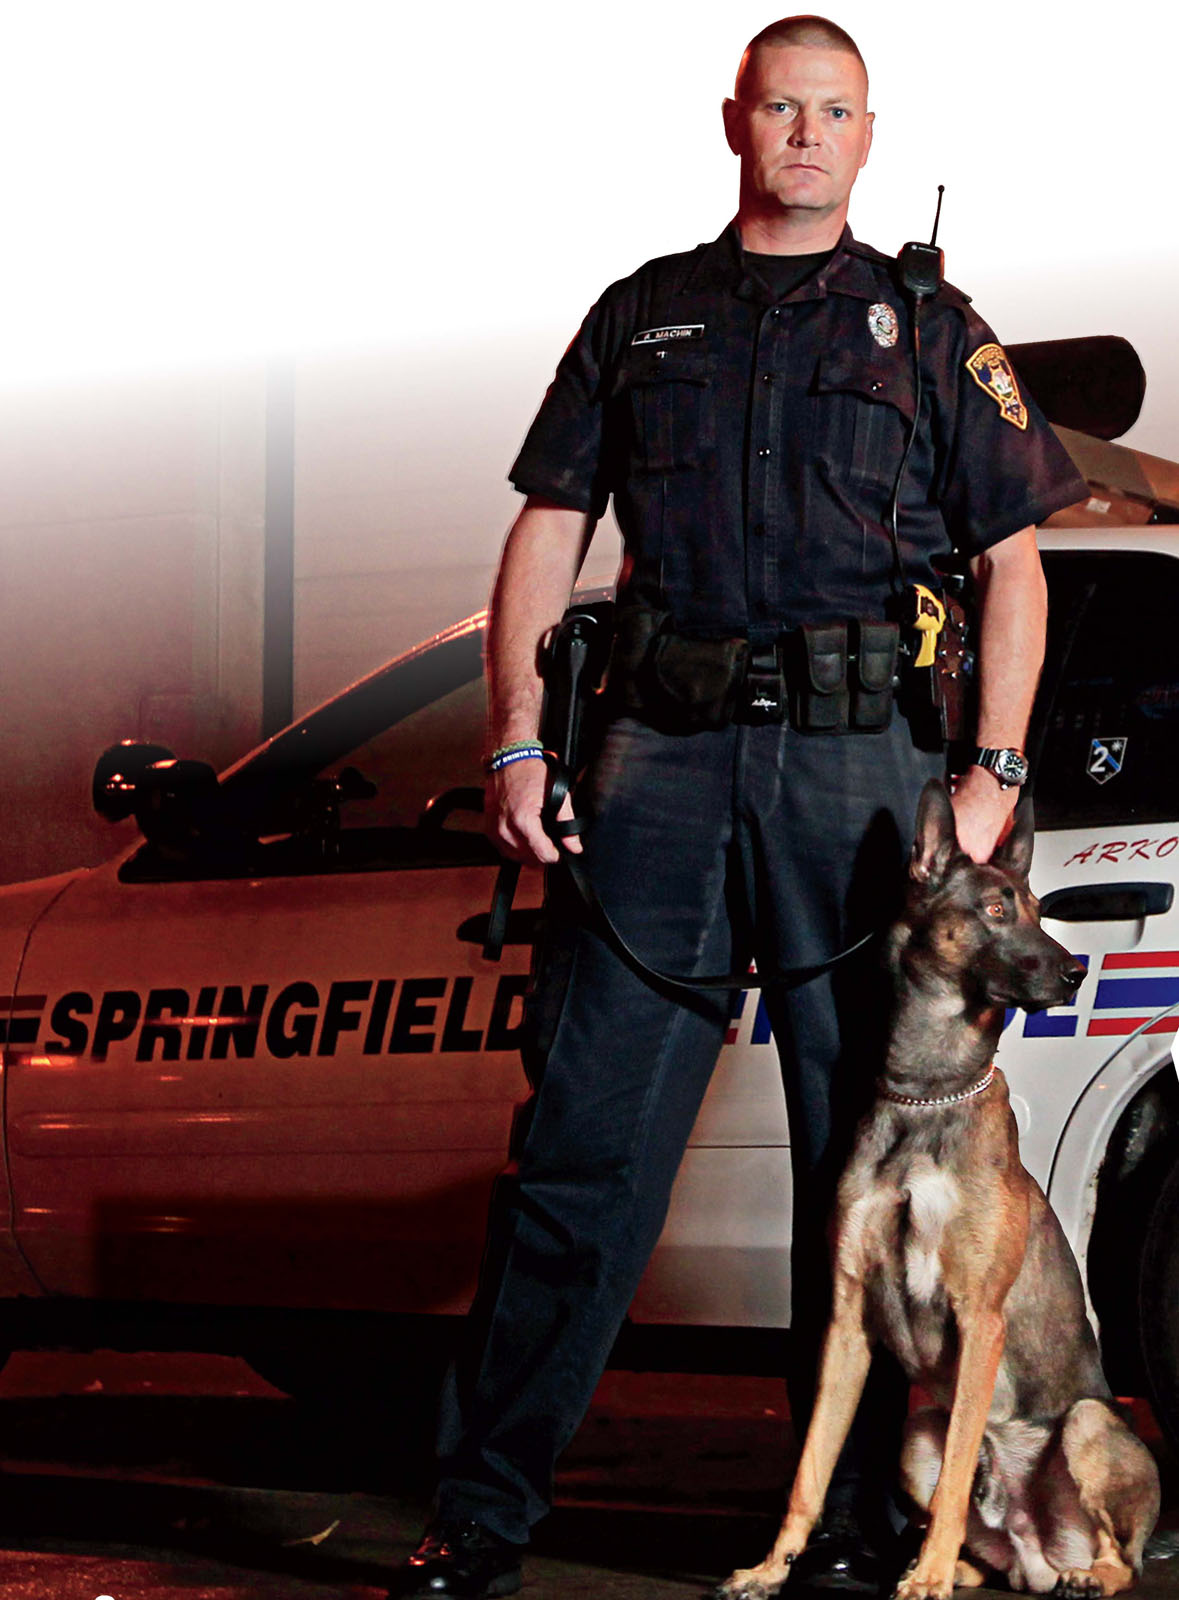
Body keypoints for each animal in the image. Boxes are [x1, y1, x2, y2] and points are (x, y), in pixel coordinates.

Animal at [716, 784, 1158, 1600]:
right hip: (912, 1435)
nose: (1075, 972)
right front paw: (770, 1567)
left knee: (1123, 1555)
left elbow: (956, 1476)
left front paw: (918, 1581)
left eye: (1039, 909)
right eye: (995, 908)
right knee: (981, 1552)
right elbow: (809, 1469)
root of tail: (1037, 1551)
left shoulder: (978, 1317)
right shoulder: (847, 1324)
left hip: (1088, 1425)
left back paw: (1070, 1575)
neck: (927, 1093)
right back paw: (945, 1562)